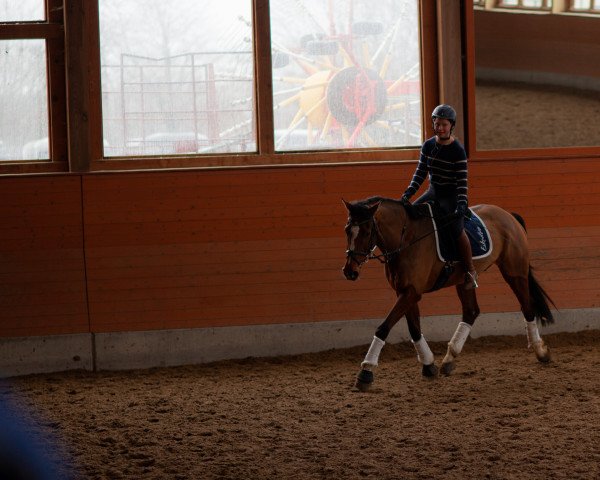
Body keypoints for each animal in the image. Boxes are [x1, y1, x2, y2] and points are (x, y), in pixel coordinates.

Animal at [340, 195, 556, 390]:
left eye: (367, 231)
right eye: (347, 230)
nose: (350, 271)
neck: (406, 238)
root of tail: (508, 215)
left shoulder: (411, 292)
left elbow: (383, 328)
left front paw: (366, 372)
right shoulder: (405, 292)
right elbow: (414, 328)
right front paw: (428, 365)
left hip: (515, 272)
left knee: (527, 308)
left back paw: (540, 351)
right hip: (464, 281)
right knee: (471, 312)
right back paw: (449, 359)